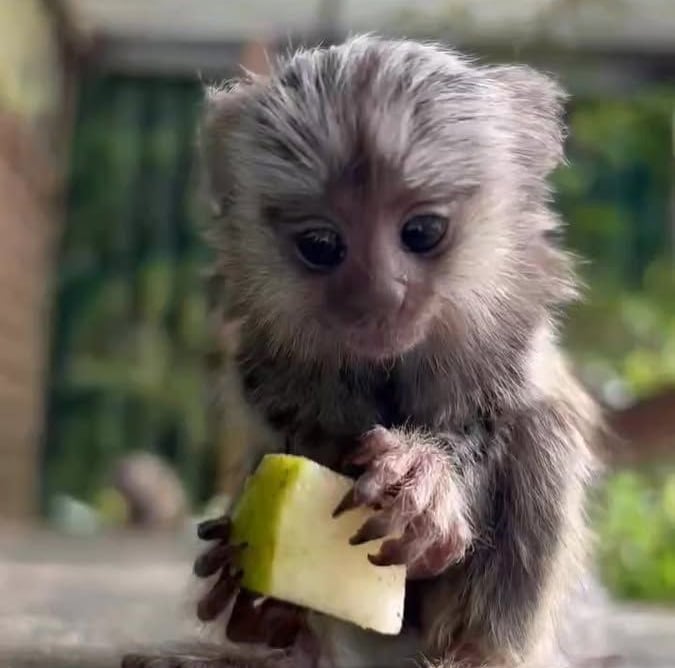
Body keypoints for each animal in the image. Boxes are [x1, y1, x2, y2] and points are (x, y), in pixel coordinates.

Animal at [121, 34, 604, 668]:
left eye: (421, 232)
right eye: (321, 244)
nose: (379, 295)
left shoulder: (509, 346)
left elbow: (497, 423)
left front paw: (425, 482)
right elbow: (286, 432)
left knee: (544, 432)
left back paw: (474, 653)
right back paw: (275, 631)